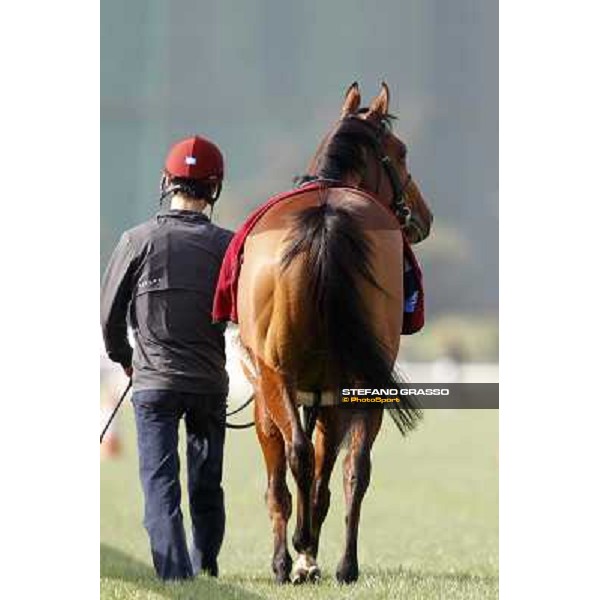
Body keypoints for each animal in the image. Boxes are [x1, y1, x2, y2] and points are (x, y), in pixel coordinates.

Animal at [234, 82, 432, 584]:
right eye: (401, 152)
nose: (423, 215)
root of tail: (324, 220)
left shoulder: (270, 396)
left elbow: (283, 479)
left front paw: (295, 556)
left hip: (284, 379)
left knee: (304, 457)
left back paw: (298, 555)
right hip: (353, 383)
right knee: (352, 468)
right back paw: (345, 564)